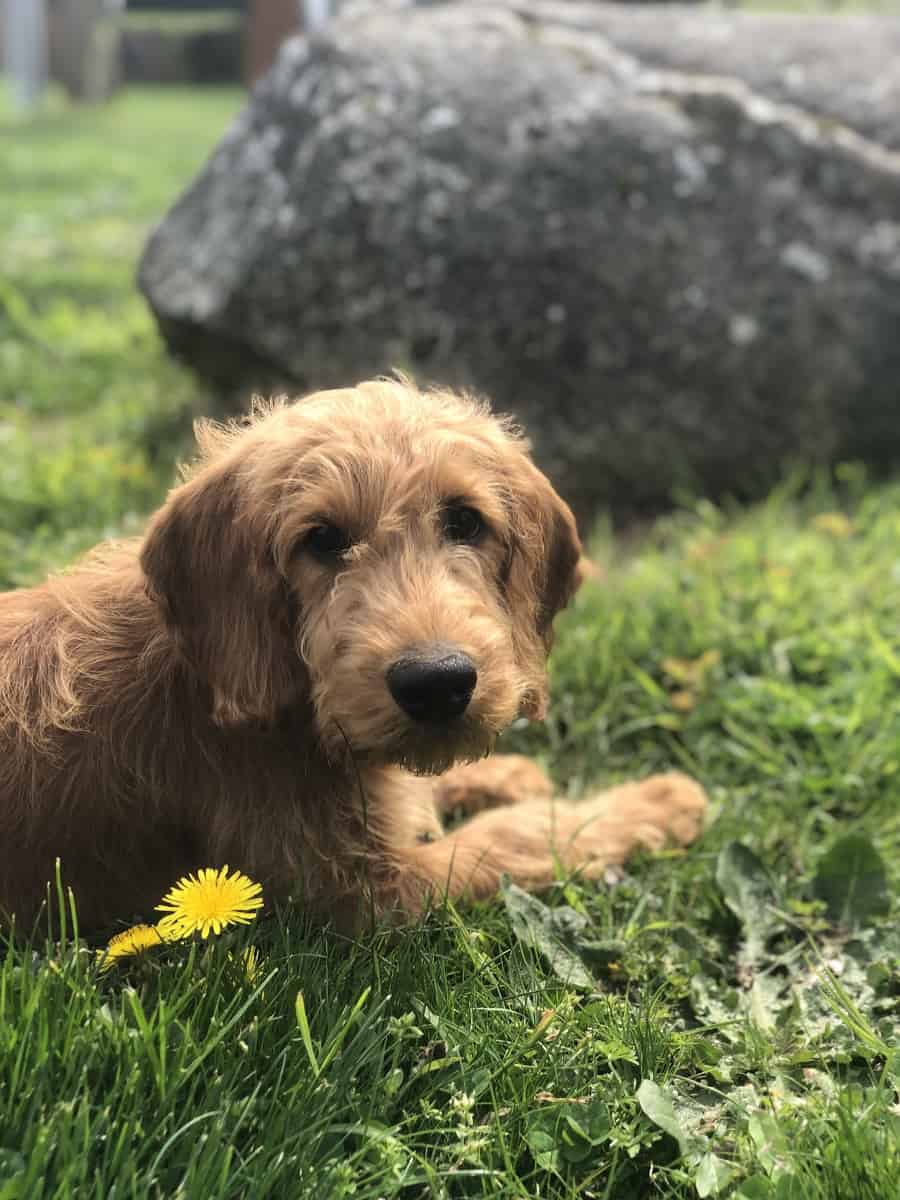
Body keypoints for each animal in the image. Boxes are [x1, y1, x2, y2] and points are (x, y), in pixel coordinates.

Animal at [0, 379, 705, 931]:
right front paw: (653, 802)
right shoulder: (371, 894)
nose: (437, 684)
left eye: (465, 521)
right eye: (322, 539)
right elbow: (516, 837)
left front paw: (506, 776)